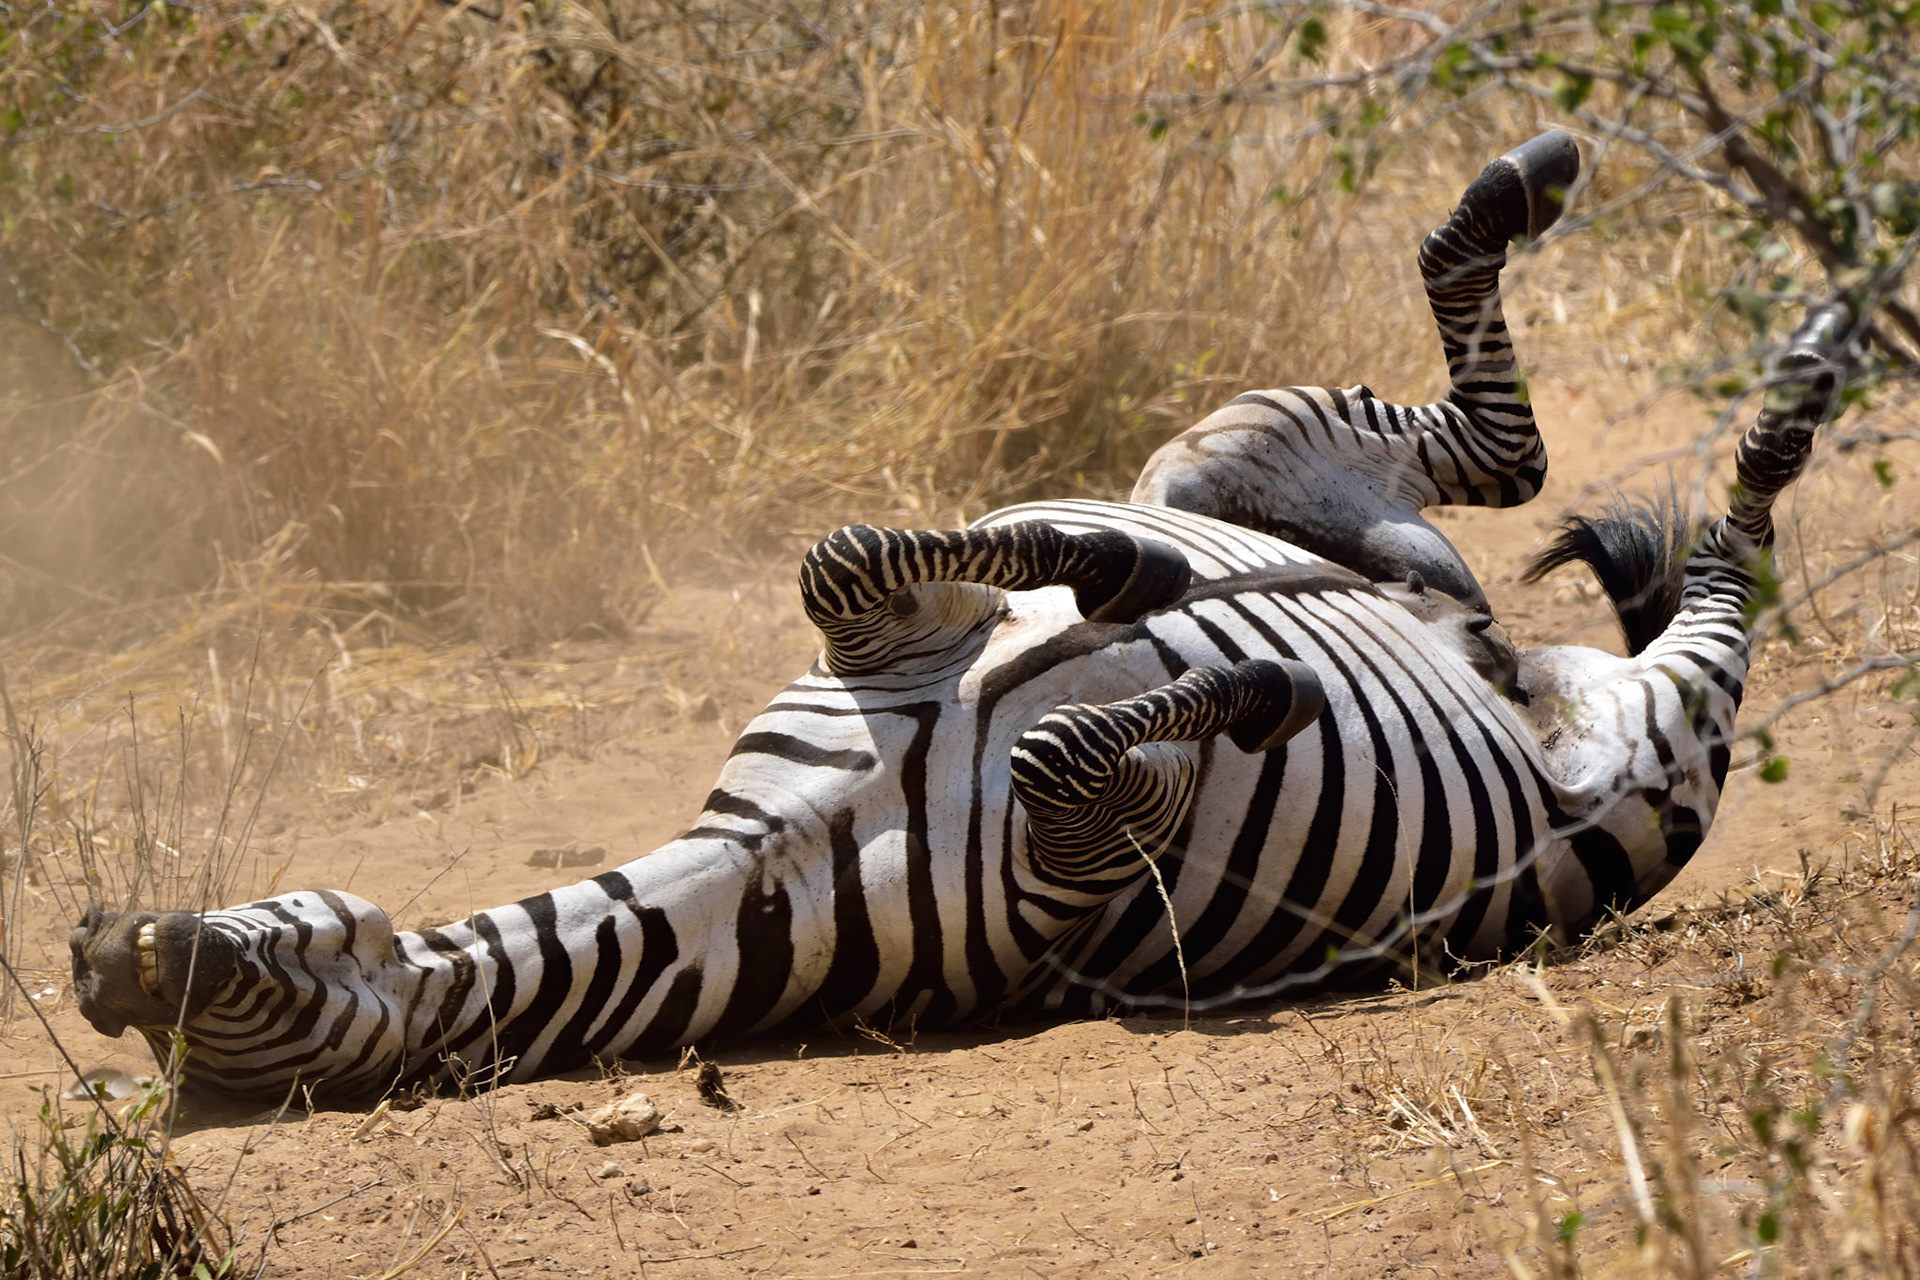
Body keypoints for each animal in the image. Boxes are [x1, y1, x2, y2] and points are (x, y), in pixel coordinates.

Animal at [69, 133, 1851, 1102]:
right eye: (222, 1012)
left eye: (232, 960)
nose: (104, 952)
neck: (768, 863)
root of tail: (1499, 651)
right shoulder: (1084, 875)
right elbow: (1068, 750)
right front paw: (1234, 679)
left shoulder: (882, 641)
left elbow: (849, 551)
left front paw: (1106, 572)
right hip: (1639, 756)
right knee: (1683, 553)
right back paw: (1789, 398)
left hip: (1227, 447)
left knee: (1506, 453)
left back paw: (1682, 285)